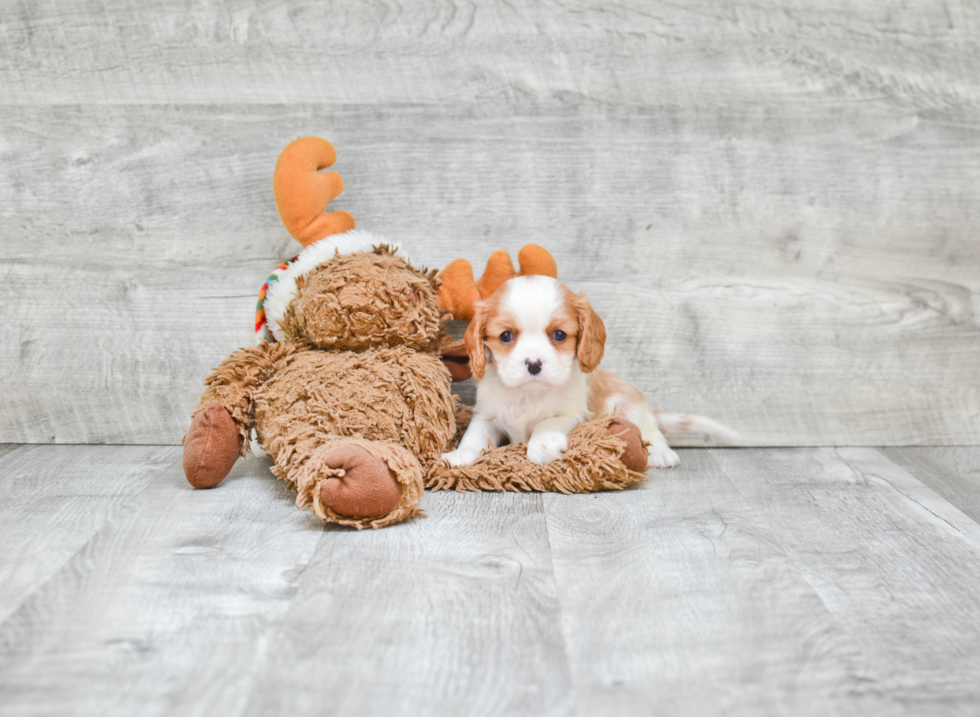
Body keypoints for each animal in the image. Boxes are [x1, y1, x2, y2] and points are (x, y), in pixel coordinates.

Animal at [442, 276, 736, 470]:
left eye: (559, 335)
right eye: (505, 336)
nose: (534, 364)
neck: (529, 394)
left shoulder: (577, 414)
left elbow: (549, 422)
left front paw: (542, 444)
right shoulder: (487, 414)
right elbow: (475, 434)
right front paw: (460, 454)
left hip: (629, 407)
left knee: (651, 431)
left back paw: (662, 453)